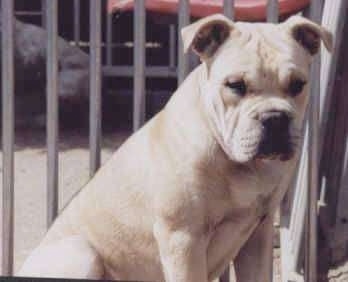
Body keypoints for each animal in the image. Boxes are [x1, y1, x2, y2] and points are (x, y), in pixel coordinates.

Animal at [18, 13, 332, 282]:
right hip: (81, 253)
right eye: (235, 85)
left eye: (298, 84)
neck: (239, 163)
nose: (275, 117)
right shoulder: (183, 239)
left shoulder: (258, 235)